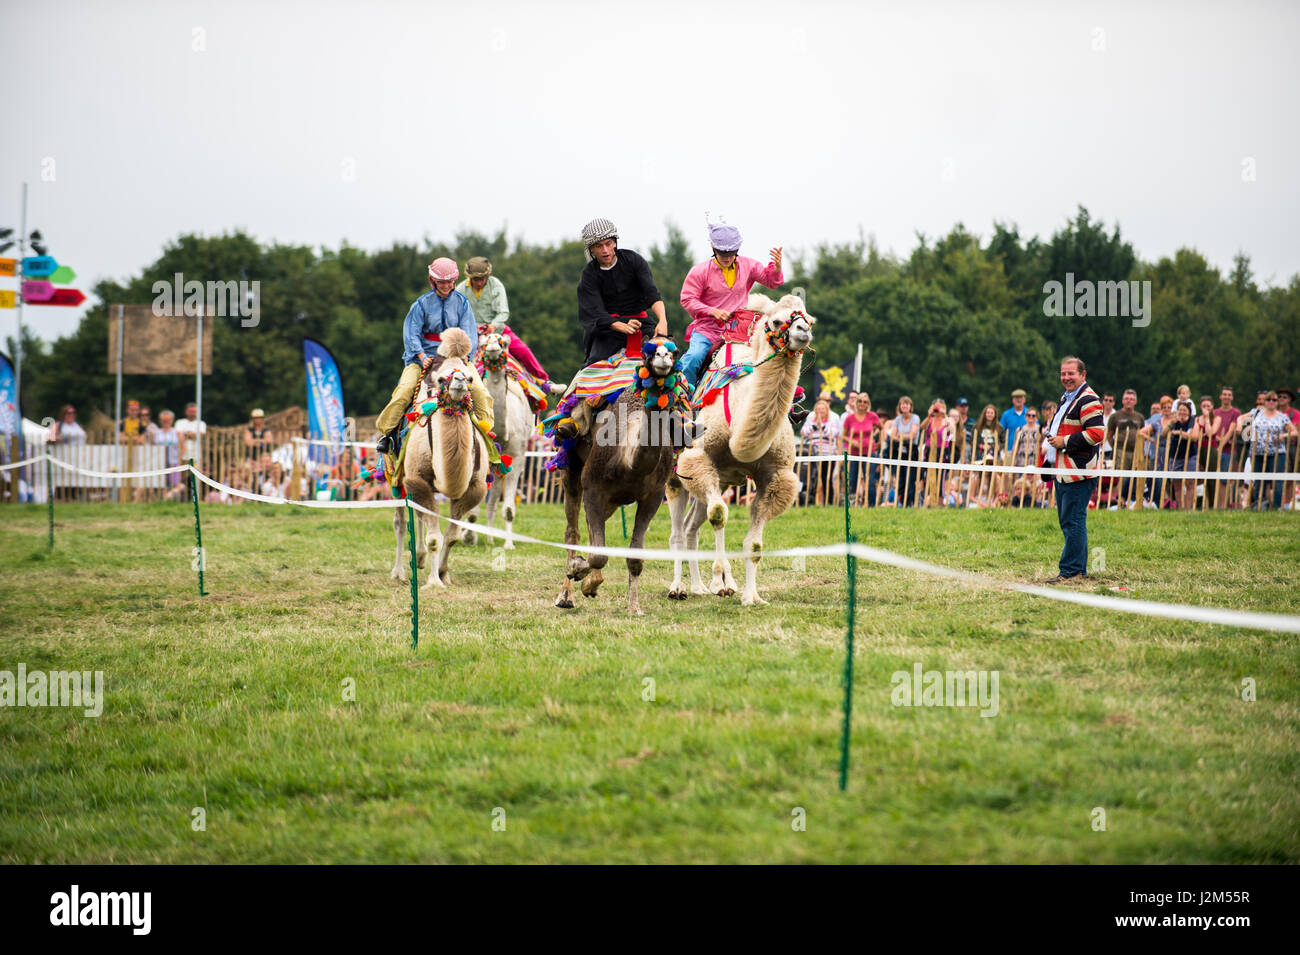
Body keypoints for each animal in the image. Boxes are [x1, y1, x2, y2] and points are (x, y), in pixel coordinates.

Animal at [390, 332, 491, 595]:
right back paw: (398, 572)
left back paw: (419, 559)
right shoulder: (418, 480)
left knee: (416, 517)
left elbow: (452, 535)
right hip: (394, 477)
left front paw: (444, 574)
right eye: (440, 377)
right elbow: (434, 537)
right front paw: (434, 581)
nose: (459, 381)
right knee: (401, 522)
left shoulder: (474, 487)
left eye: (470, 376)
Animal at [553, 340, 681, 615]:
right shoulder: (593, 487)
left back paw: (591, 584)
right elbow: (598, 554)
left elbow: (635, 556)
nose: (663, 357)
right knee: (573, 530)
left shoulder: (653, 496)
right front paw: (576, 569)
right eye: (649, 354)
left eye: (673, 352)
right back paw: (566, 595)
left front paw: (634, 607)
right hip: (572, 468)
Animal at [670, 291, 811, 605]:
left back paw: (700, 586)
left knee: (690, 527)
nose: (803, 332)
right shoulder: (699, 458)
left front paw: (751, 596)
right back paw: (679, 588)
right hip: (674, 475)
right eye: (777, 320)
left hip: (719, 480)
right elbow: (719, 515)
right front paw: (721, 581)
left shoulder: (775, 477)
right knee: (678, 531)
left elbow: (755, 544)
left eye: (809, 319)